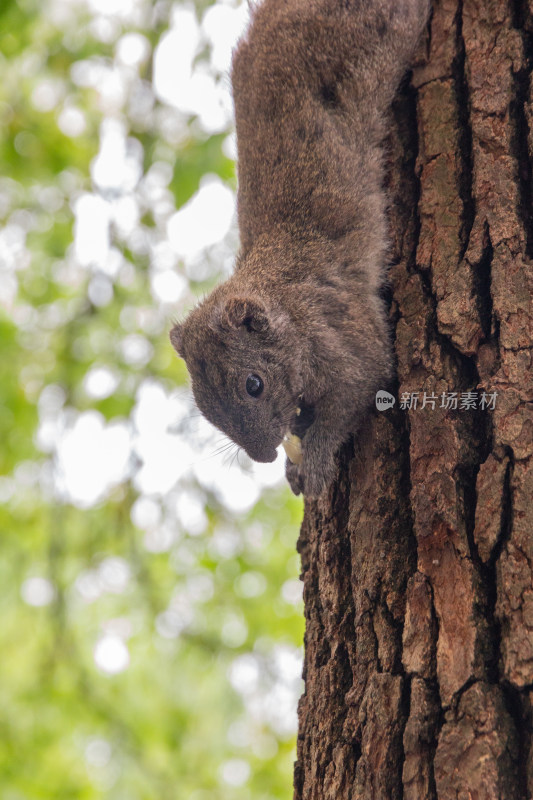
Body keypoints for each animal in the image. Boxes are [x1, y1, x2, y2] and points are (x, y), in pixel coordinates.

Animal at [170, 0, 428, 496]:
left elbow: (360, 386)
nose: (265, 456)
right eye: (204, 406)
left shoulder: (341, 333)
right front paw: (294, 464)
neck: (285, 302)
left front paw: (319, 459)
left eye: (253, 385)